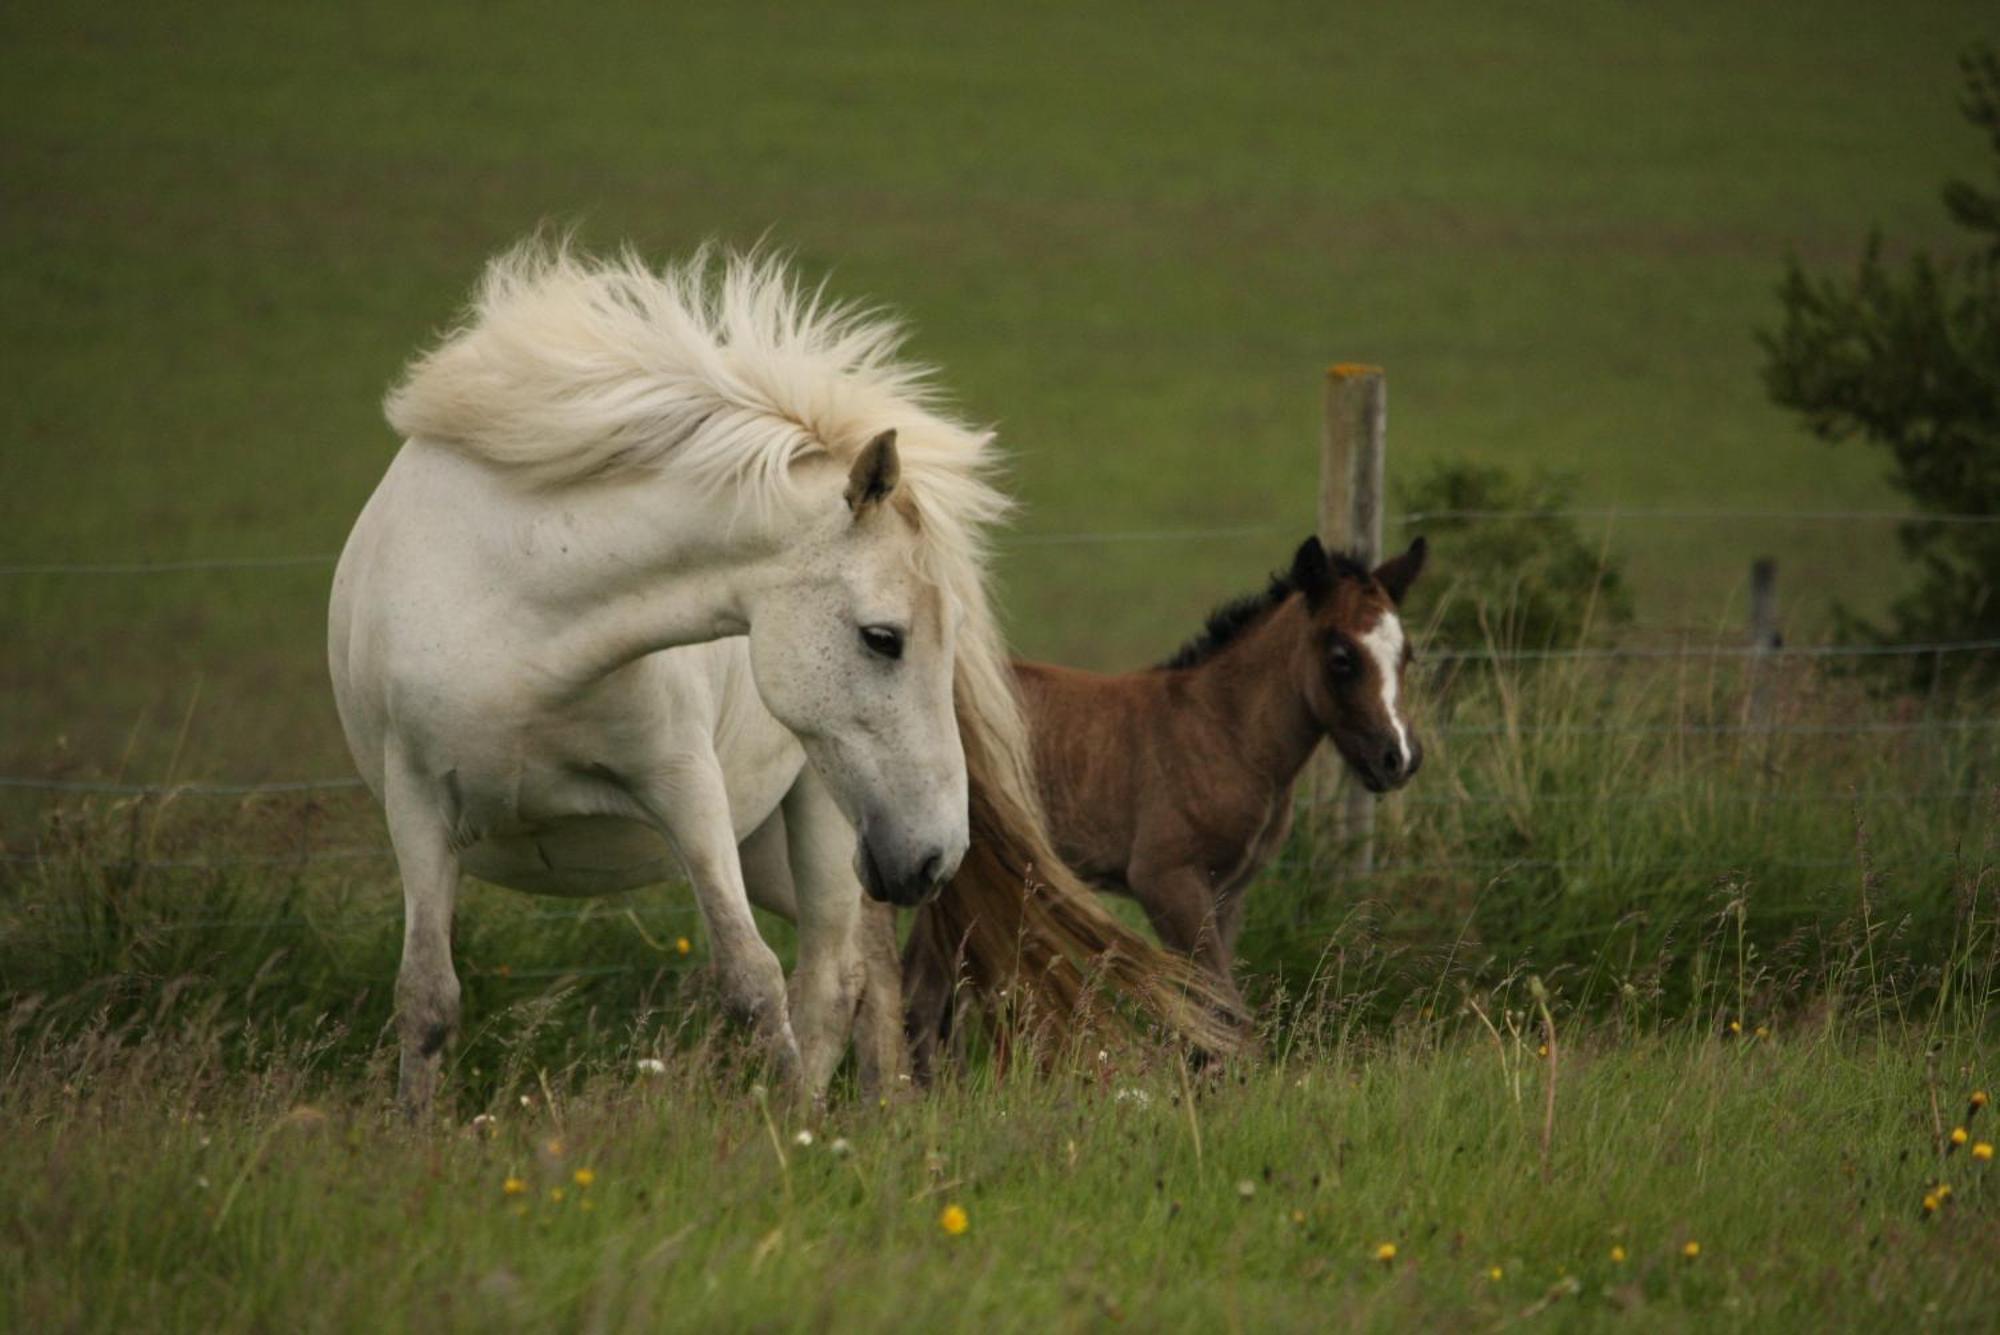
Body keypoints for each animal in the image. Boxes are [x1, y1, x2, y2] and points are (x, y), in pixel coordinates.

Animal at [336, 242, 1016, 1119]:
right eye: (882, 638)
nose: (938, 856)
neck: (515, 602)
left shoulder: (685, 788)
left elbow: (753, 979)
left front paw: (788, 1136)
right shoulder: (417, 806)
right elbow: (426, 996)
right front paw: (416, 1130)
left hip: (827, 820)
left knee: (833, 977)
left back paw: (823, 1118)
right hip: (810, 851)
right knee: (871, 967)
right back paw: (883, 1110)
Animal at [900, 535, 1432, 1063]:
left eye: (1407, 654)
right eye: (1341, 657)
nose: (1399, 757)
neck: (1223, 731)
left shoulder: (1227, 892)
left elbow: (1213, 1002)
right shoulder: (1165, 880)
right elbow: (1220, 1006)